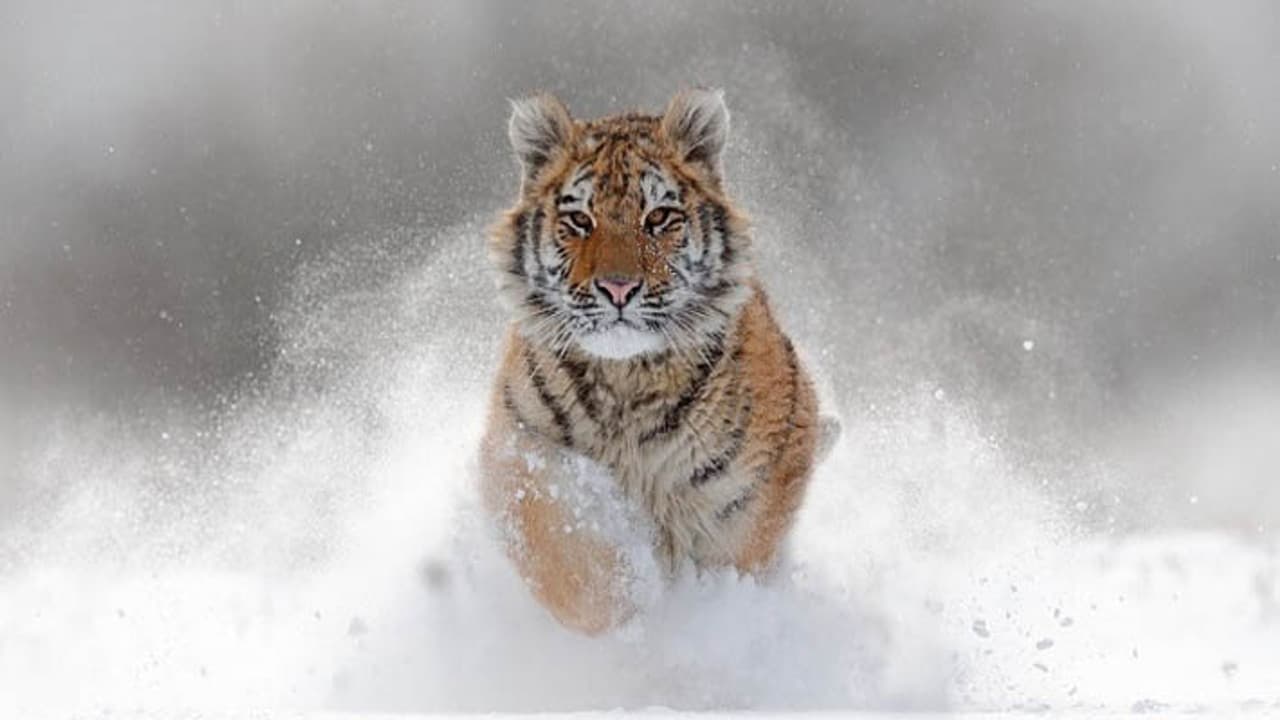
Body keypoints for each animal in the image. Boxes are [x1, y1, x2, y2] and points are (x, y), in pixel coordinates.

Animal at [479, 88, 836, 634]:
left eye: (659, 217)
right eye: (580, 220)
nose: (618, 288)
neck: (627, 381)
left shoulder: (752, 490)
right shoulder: (518, 447)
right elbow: (565, 556)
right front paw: (628, 600)